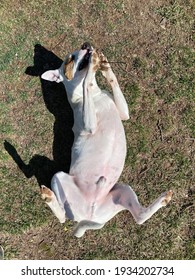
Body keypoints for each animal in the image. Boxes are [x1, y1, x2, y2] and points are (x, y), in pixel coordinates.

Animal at [41, 42, 172, 237]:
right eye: (71, 58)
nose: (86, 45)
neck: (96, 96)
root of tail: (89, 215)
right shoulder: (88, 124)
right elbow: (86, 83)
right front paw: (92, 67)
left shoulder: (123, 113)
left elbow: (113, 83)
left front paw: (105, 66)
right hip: (59, 178)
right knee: (62, 216)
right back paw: (49, 197)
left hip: (122, 190)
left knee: (139, 217)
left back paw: (163, 199)